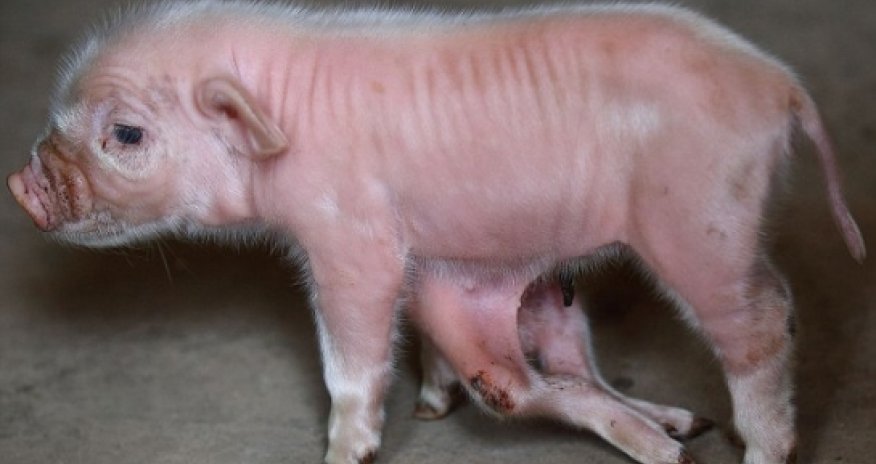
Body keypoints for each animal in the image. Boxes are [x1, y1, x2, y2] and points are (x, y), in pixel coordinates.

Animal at [6, 1, 866, 464]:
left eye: (125, 134)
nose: (20, 186)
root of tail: (781, 85)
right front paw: (428, 406)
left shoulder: (349, 238)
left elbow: (350, 362)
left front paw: (342, 453)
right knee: (577, 374)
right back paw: (683, 427)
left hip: (701, 223)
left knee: (763, 322)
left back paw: (741, 449)